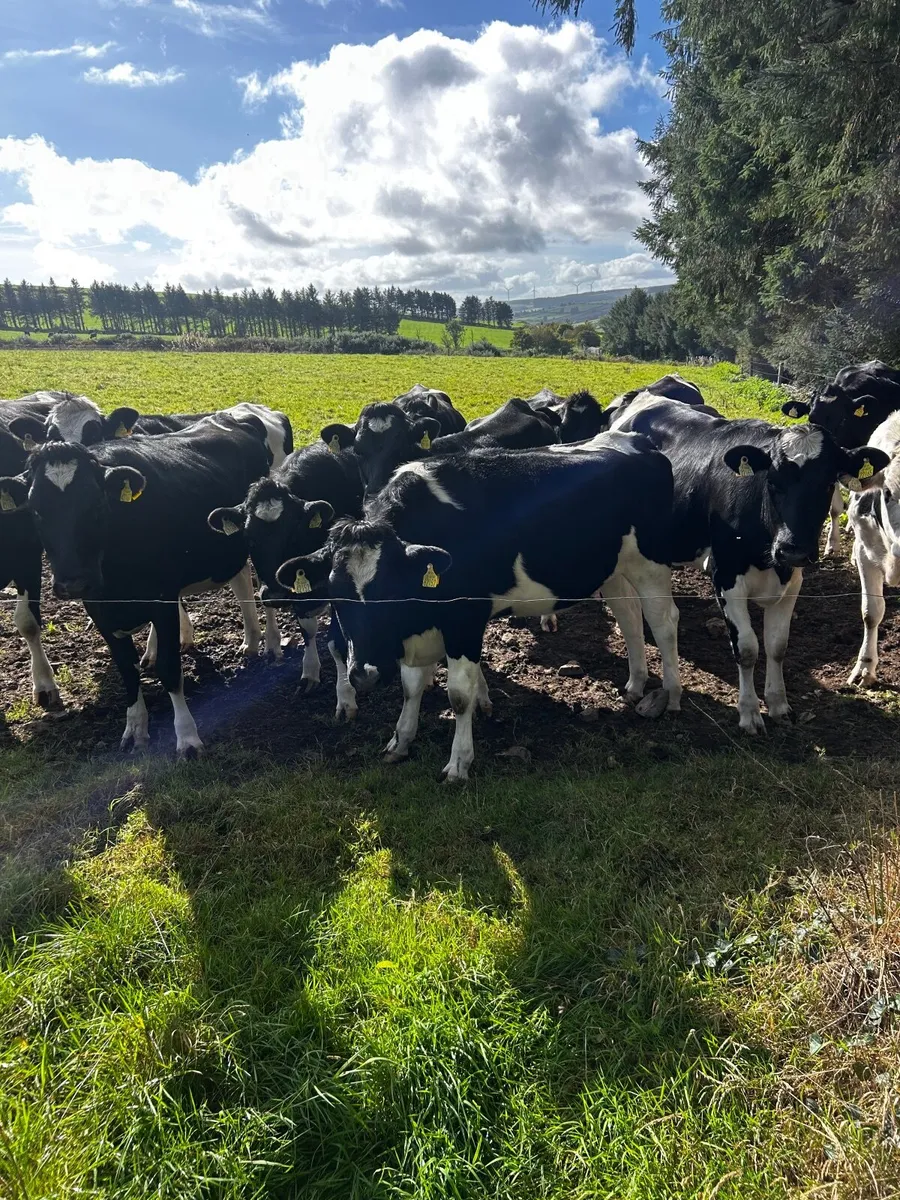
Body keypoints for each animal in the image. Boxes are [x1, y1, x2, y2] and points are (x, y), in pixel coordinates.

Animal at [0, 411, 276, 756]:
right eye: (37, 512)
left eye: (96, 506)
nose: (73, 582)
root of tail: (231, 416)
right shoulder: (99, 609)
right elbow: (126, 671)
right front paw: (135, 729)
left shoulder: (162, 600)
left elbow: (171, 670)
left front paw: (187, 738)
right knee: (239, 580)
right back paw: (248, 641)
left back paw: (269, 643)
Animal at [208, 440, 364, 717]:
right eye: (249, 538)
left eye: (293, 534)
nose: (274, 595)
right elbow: (307, 630)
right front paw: (309, 673)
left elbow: (336, 642)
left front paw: (345, 697)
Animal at [274, 438, 682, 781]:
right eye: (336, 594)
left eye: (392, 590)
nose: (366, 674)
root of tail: (639, 444)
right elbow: (411, 687)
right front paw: (400, 740)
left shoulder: (464, 619)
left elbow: (458, 695)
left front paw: (458, 763)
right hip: (612, 567)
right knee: (629, 617)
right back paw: (634, 684)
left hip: (651, 562)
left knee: (663, 621)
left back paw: (671, 696)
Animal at [610, 396, 888, 732]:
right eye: (773, 481)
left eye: (827, 483)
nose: (793, 548)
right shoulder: (725, 577)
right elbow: (746, 649)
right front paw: (750, 712)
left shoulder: (792, 580)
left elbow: (777, 646)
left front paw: (779, 704)